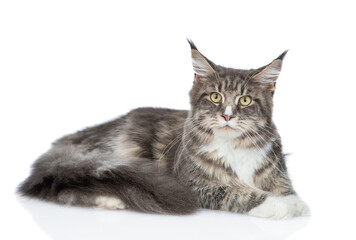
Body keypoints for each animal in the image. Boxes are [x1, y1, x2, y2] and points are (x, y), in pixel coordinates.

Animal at [18, 39, 308, 219]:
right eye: (215, 97)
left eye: (245, 100)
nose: (227, 116)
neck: (234, 145)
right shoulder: (195, 184)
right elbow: (236, 193)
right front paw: (278, 205)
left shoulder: (276, 167)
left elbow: (284, 186)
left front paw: (295, 202)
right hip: (114, 152)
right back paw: (111, 199)